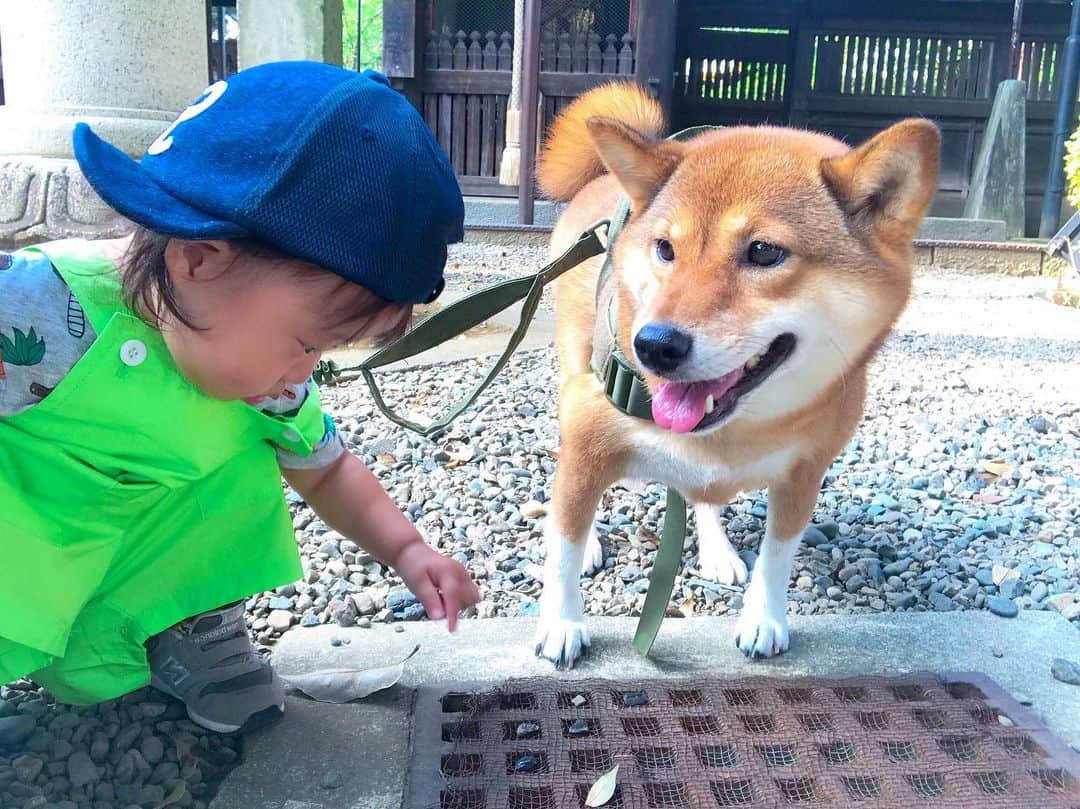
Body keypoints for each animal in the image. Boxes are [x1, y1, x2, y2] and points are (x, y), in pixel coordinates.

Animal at [531, 82, 937, 665]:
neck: (736, 430)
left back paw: (717, 550)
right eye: (665, 249)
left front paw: (764, 618)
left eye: (763, 251)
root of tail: (602, 180)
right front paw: (561, 622)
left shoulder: (804, 472)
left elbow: (778, 553)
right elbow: (563, 543)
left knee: (699, 498)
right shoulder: (588, 437)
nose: (653, 345)